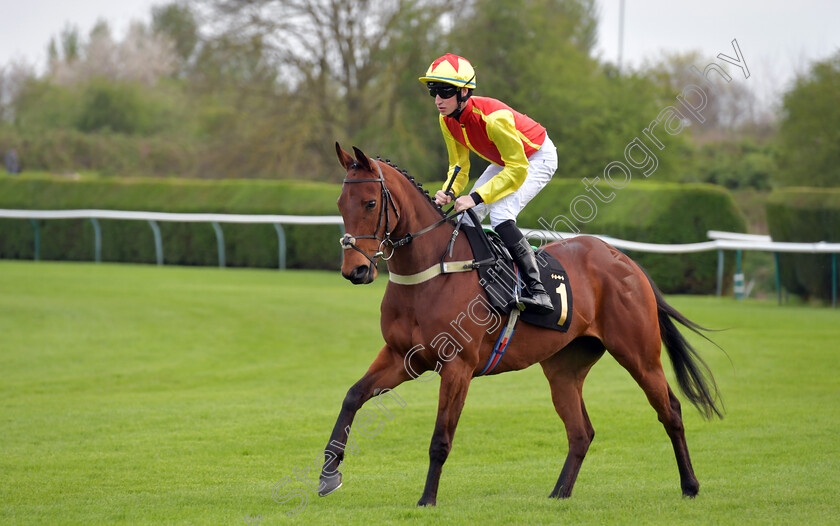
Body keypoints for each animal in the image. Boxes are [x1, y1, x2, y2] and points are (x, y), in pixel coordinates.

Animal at [318, 143, 724, 508]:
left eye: (370, 203)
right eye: (340, 204)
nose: (355, 270)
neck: (434, 269)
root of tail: (625, 260)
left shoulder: (457, 366)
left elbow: (441, 438)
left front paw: (427, 500)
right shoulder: (403, 356)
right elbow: (352, 396)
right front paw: (328, 474)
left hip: (639, 354)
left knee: (670, 411)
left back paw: (690, 485)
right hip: (563, 368)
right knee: (581, 432)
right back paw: (559, 494)